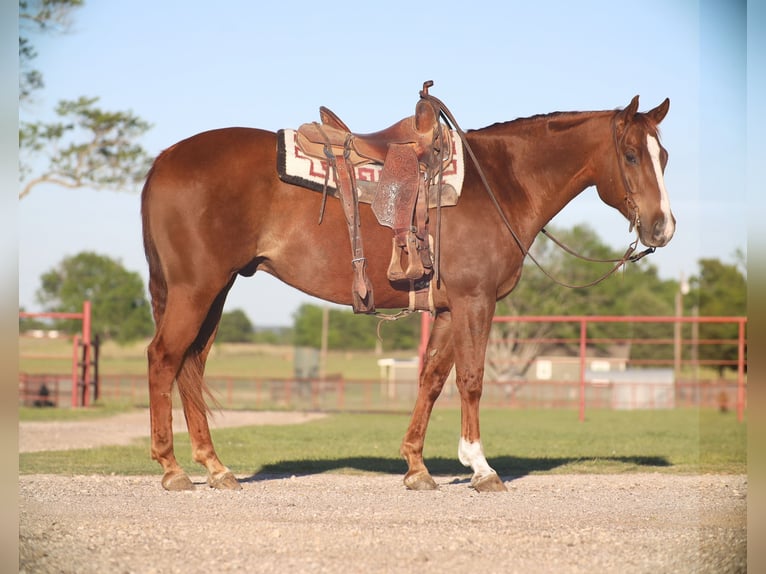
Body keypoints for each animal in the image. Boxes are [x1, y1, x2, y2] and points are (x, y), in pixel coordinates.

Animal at [141, 92, 675, 492]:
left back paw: (216, 468)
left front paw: (417, 467)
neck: (499, 182)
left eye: (664, 157)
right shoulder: (475, 300)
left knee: (191, 365)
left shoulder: (448, 309)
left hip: (215, 290)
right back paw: (172, 469)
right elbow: (472, 380)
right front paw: (480, 467)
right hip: (196, 288)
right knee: (164, 357)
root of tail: (164, 159)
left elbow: (432, 379)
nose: (662, 228)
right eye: (631, 155)